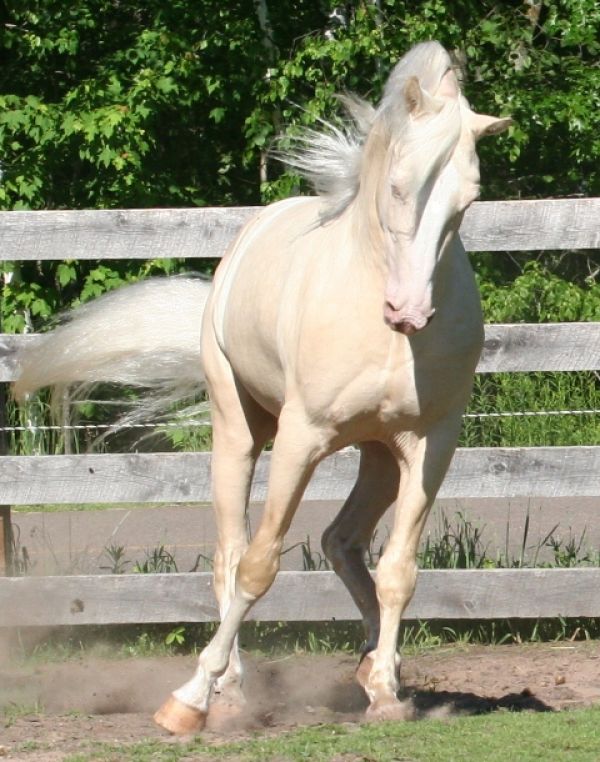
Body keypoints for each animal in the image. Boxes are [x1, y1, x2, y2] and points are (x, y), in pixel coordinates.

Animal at [14, 41, 512, 733]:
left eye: (469, 197)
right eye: (398, 185)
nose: (409, 311)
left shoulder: (430, 445)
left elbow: (400, 573)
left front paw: (387, 693)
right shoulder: (302, 439)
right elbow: (258, 564)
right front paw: (188, 701)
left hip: (379, 455)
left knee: (341, 542)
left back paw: (372, 669)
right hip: (239, 428)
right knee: (230, 554)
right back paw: (230, 692)